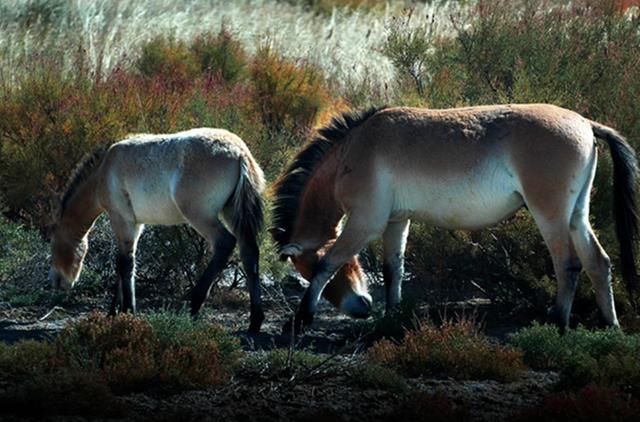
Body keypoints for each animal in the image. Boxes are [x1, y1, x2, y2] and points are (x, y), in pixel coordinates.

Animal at [49, 128, 264, 332]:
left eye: (53, 244)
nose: (56, 282)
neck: (104, 169)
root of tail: (239, 152)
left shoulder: (122, 221)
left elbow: (125, 264)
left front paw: (127, 312)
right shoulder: (135, 226)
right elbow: (124, 264)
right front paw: (113, 313)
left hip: (201, 216)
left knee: (225, 243)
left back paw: (193, 306)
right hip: (232, 213)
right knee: (249, 253)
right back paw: (255, 321)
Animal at [272, 104, 640, 332]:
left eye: (306, 265)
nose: (359, 308)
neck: (354, 149)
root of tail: (585, 124)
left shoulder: (365, 223)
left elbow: (330, 263)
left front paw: (300, 319)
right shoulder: (396, 222)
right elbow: (393, 271)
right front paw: (392, 318)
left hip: (550, 214)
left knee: (568, 266)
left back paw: (559, 324)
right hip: (576, 215)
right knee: (598, 263)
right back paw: (611, 325)